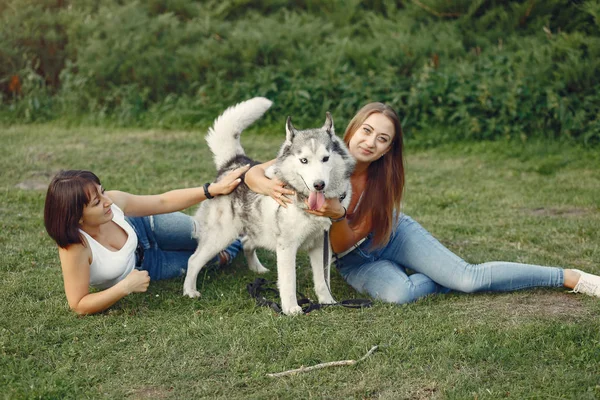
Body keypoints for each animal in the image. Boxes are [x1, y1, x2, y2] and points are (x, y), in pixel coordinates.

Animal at [180, 97, 354, 316]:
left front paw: (327, 301)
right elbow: (289, 281)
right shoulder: (287, 246)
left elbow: (322, 281)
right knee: (193, 260)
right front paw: (291, 308)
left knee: (246, 243)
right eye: (304, 160)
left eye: (325, 158)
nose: (319, 185)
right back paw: (189, 291)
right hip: (221, 237)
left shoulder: (320, 245)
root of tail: (235, 162)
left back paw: (257, 269)